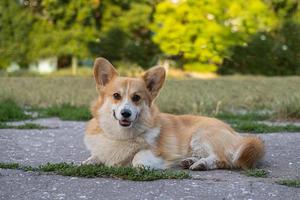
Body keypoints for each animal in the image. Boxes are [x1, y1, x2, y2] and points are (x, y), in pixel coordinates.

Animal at [83, 57, 264, 170]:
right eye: (116, 96)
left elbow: (137, 157)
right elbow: (96, 156)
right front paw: (87, 162)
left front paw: (140, 165)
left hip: (202, 135)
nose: (126, 113)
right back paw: (190, 161)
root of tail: (236, 134)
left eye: (136, 97)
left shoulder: (159, 152)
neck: (122, 135)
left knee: (223, 159)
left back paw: (201, 164)